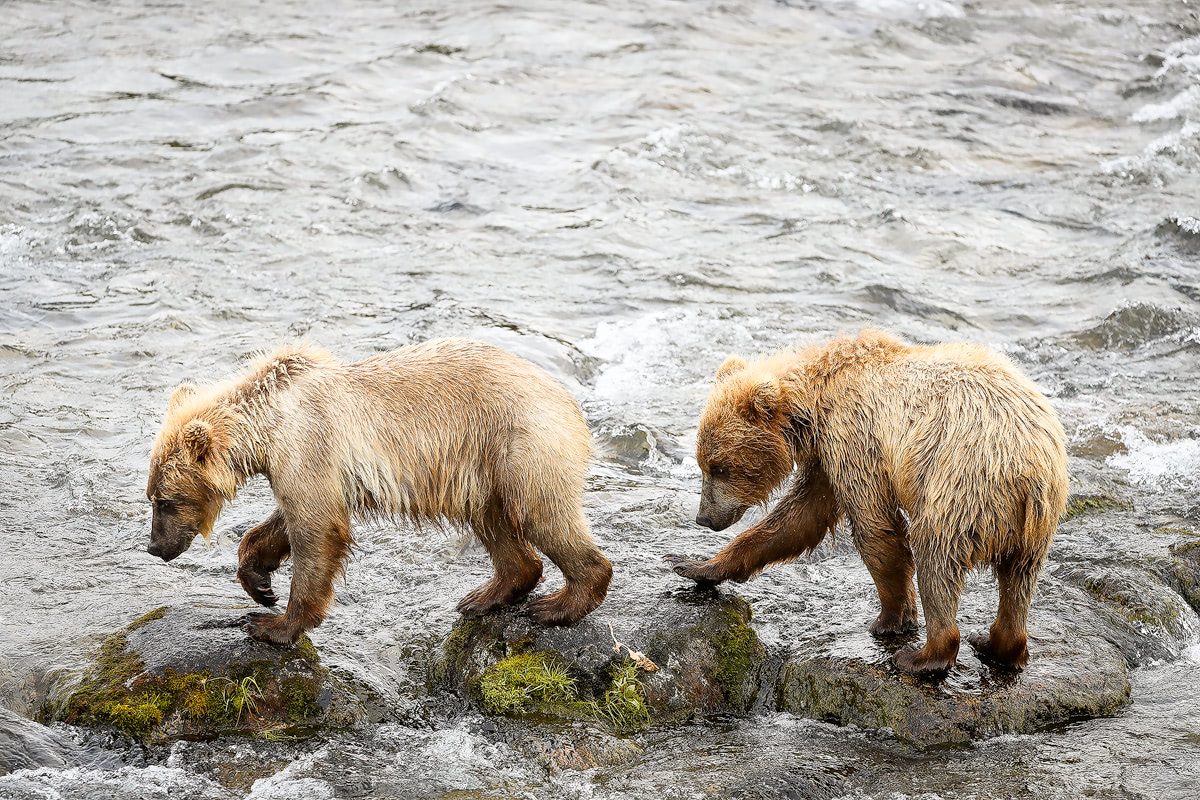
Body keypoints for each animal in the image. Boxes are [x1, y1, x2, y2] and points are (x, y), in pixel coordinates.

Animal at [672, 328, 1075, 671]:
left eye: (720, 467)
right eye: (703, 463)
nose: (704, 517)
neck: (813, 404)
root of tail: (1030, 467)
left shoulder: (855, 438)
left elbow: (874, 527)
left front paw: (890, 619)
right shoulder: (826, 458)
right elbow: (797, 520)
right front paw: (695, 565)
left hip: (962, 485)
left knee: (936, 555)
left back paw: (926, 654)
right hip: (1034, 522)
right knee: (1018, 580)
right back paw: (995, 643)